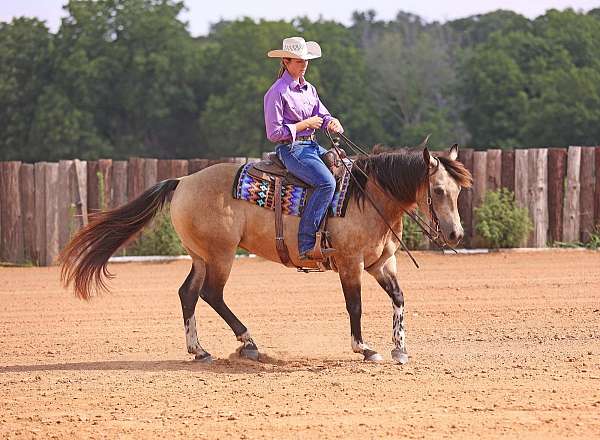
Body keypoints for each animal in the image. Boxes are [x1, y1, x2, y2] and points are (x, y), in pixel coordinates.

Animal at [61, 144, 474, 364]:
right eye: (438, 190)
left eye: (458, 191)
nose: (456, 233)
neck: (366, 196)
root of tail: (183, 181)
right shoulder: (350, 264)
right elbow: (354, 306)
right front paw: (364, 348)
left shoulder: (381, 263)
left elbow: (399, 298)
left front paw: (400, 349)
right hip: (221, 255)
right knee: (211, 294)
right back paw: (248, 343)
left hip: (201, 256)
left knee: (188, 294)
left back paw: (199, 350)